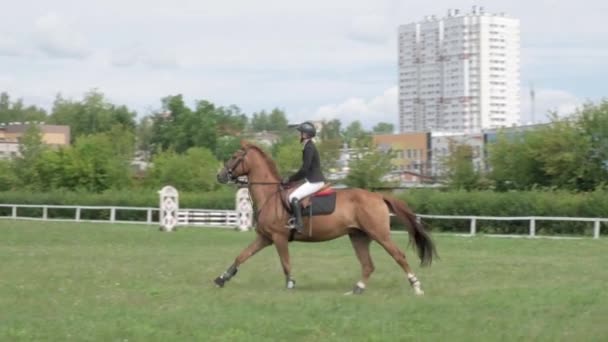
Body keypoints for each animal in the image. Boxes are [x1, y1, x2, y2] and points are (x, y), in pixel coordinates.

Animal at [214, 140, 436, 296]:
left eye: (234, 156)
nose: (220, 175)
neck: (270, 195)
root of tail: (378, 196)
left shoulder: (279, 238)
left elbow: (286, 263)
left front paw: (290, 284)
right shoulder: (265, 238)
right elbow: (242, 256)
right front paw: (222, 279)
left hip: (379, 234)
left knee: (398, 256)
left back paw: (417, 287)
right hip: (359, 236)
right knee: (368, 265)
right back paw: (357, 289)